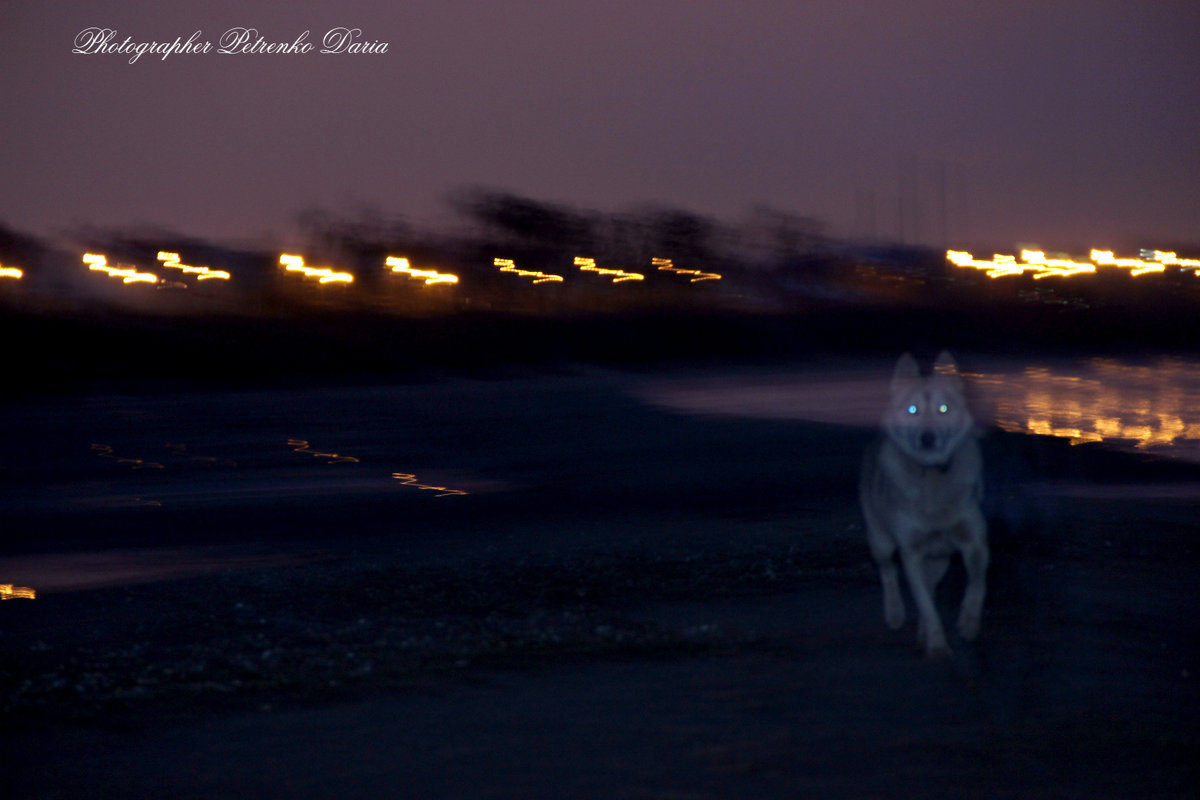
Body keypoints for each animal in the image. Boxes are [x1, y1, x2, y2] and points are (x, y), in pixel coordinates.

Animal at [859, 350, 988, 657]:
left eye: (943, 408)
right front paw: (938, 647)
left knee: (930, 585)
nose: (927, 438)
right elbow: (927, 607)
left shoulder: (975, 543)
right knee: (889, 572)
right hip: (881, 542)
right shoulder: (911, 553)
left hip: (940, 560)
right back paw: (895, 613)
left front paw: (968, 622)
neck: (932, 475)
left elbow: (978, 581)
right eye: (912, 410)